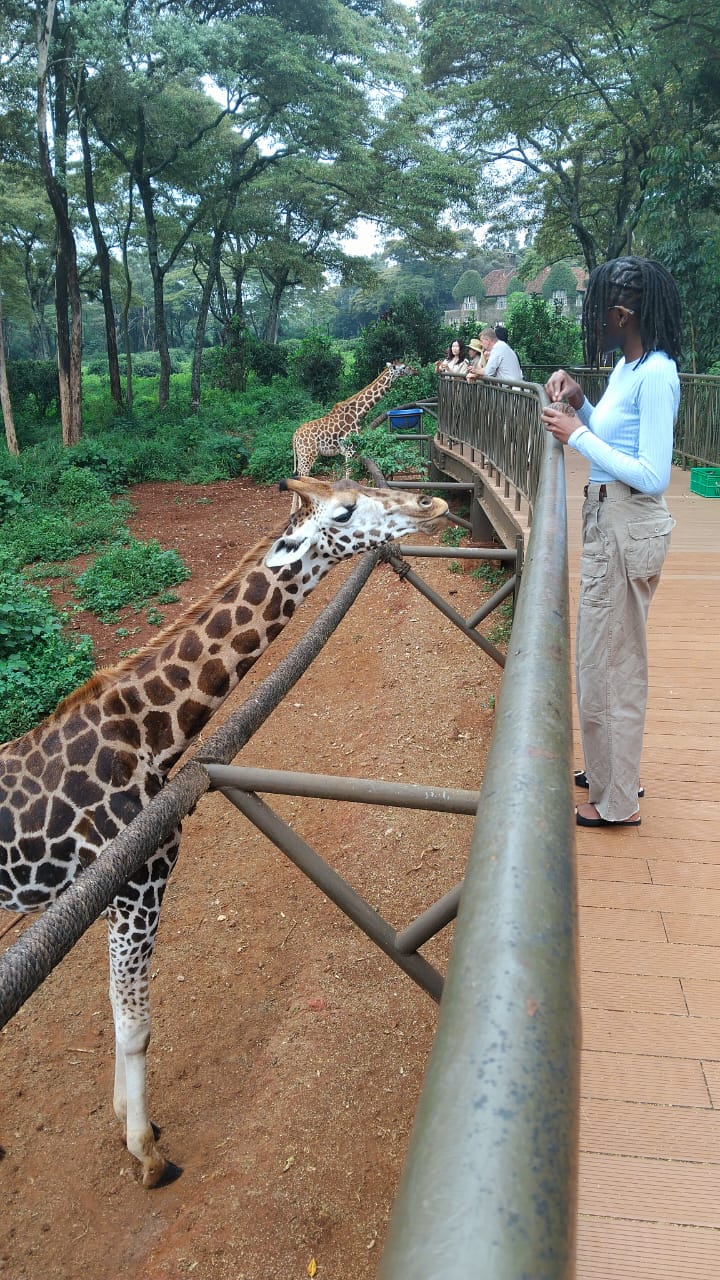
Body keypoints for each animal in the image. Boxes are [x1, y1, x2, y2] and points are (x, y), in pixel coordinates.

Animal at [0, 476, 447, 1188]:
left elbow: (119, 1010)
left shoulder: (111, 893)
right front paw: (147, 1156)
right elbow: (135, 1025)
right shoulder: (137, 881)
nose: (434, 505)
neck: (149, 733)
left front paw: (135, 1126)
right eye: (344, 509)